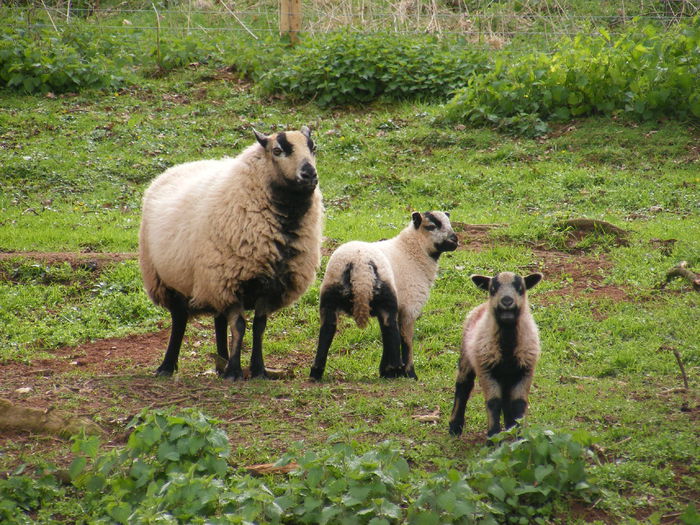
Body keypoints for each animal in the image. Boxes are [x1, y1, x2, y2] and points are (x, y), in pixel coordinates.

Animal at [139, 127, 322, 380]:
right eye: (277, 151)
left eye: (313, 147)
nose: (309, 174)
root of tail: (176, 168)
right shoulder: (231, 280)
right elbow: (239, 326)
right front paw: (235, 372)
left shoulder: (268, 285)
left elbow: (259, 327)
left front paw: (258, 370)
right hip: (166, 278)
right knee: (179, 319)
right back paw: (168, 366)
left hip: (210, 280)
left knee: (219, 320)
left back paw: (221, 363)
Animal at [308, 210, 456, 380]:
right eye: (431, 226)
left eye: (449, 223)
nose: (455, 240)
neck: (412, 251)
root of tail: (359, 264)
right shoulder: (409, 307)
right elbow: (406, 339)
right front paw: (410, 374)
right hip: (387, 298)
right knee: (390, 329)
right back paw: (394, 370)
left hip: (329, 296)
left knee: (328, 329)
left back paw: (316, 372)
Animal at [448, 272, 548, 436]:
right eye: (493, 289)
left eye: (520, 288)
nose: (507, 301)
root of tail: (481, 307)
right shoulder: (487, 370)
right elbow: (493, 402)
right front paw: (493, 435)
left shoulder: (525, 370)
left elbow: (519, 403)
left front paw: (519, 436)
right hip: (467, 357)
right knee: (463, 386)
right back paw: (455, 426)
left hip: (507, 377)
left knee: (507, 398)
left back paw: (509, 426)